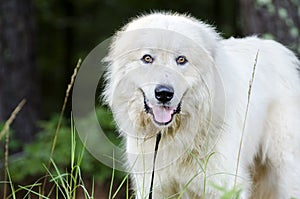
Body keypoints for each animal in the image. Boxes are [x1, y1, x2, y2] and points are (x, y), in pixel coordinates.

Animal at [102, 12, 300, 199]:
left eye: (181, 60)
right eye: (147, 58)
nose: (164, 93)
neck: (175, 134)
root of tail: (280, 50)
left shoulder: (225, 185)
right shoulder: (153, 187)